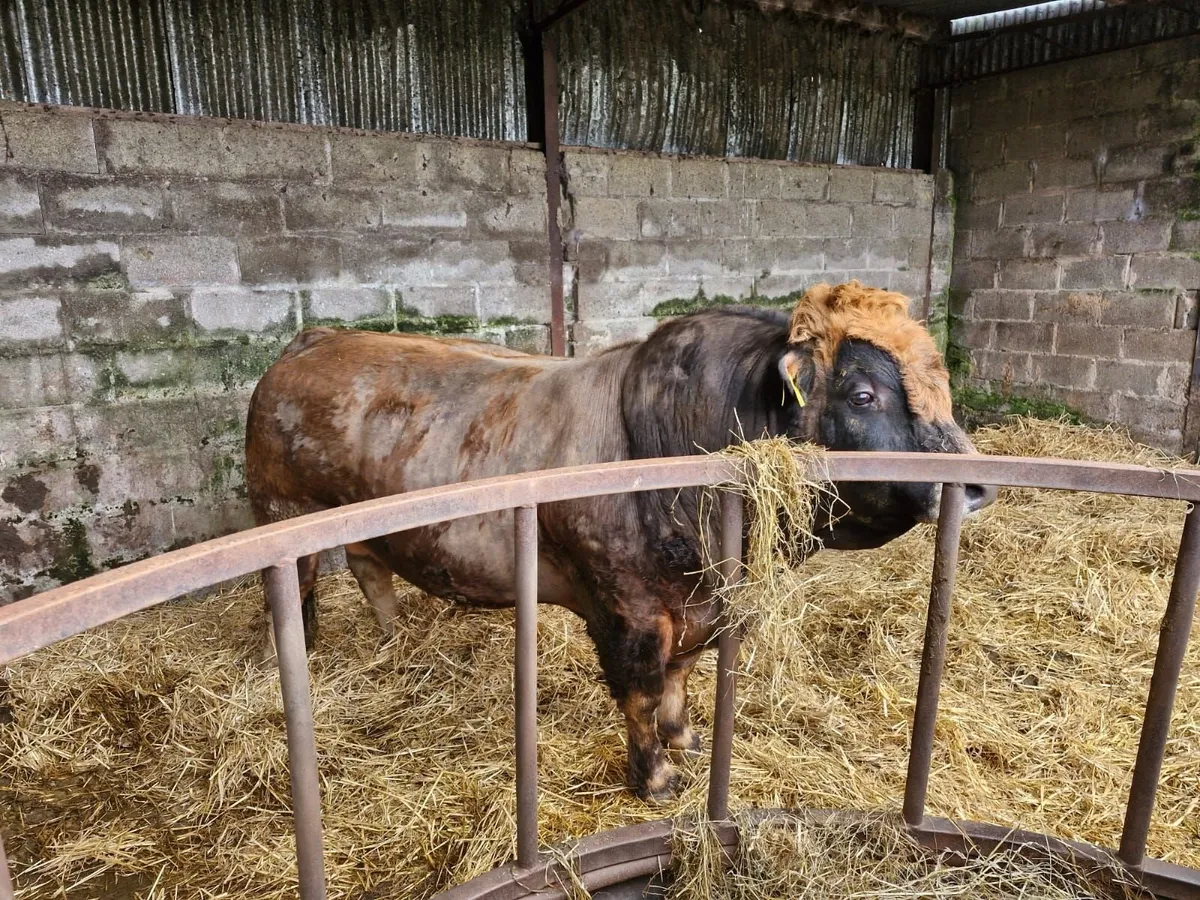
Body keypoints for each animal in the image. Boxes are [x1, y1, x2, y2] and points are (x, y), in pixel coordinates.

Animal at [244, 281, 996, 799]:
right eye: (864, 394)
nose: (977, 484)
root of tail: (311, 340)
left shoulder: (699, 607)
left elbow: (680, 682)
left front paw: (685, 739)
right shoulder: (627, 612)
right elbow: (640, 695)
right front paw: (655, 777)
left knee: (369, 568)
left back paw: (396, 643)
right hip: (281, 509)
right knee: (300, 589)